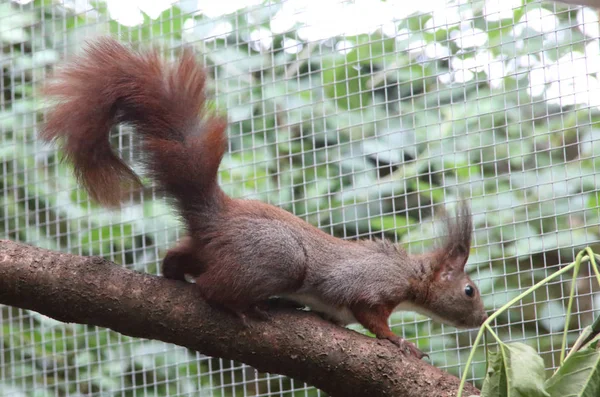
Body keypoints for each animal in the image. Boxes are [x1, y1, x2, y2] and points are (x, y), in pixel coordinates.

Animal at [39, 38, 486, 358]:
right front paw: (398, 341)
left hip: (211, 249)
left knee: (178, 259)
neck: (409, 275)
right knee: (212, 289)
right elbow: (373, 319)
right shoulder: (370, 287)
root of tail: (219, 216)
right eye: (469, 291)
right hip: (280, 258)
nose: (482, 319)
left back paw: (175, 274)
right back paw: (242, 307)